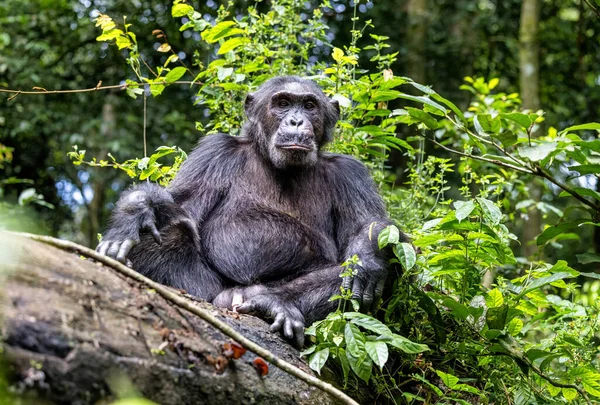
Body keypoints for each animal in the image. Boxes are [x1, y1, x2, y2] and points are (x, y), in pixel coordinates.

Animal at [98, 75, 406, 344]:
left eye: (309, 105)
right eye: (283, 103)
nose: (296, 120)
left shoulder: (350, 174)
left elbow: (368, 224)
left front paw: (367, 259)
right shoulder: (214, 153)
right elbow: (179, 203)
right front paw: (133, 214)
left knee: (387, 264)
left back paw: (275, 302)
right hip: (206, 291)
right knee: (170, 231)